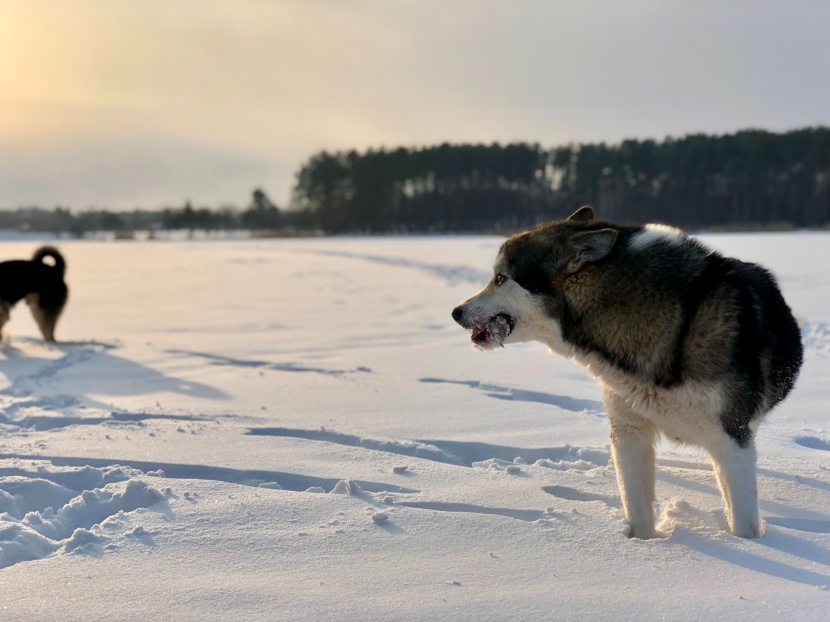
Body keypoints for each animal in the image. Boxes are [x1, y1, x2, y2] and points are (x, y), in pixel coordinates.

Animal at [456, 210, 808, 540]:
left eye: (500, 278)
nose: (456, 312)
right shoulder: (629, 430)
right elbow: (636, 504)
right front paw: (643, 546)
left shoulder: (732, 437)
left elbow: (742, 519)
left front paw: (749, 548)